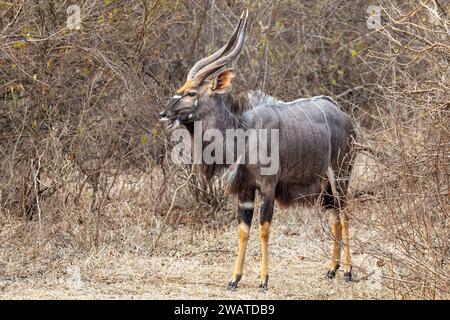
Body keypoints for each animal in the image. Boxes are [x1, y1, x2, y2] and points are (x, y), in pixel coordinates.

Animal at [160, 10, 356, 290]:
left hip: (341, 175)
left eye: (191, 92)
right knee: (334, 216)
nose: (164, 113)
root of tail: (343, 115)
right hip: (326, 186)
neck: (243, 133)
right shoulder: (245, 190)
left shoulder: (268, 187)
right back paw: (331, 269)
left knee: (345, 214)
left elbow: (264, 228)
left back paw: (348, 271)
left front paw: (263, 279)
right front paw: (234, 279)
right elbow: (244, 230)